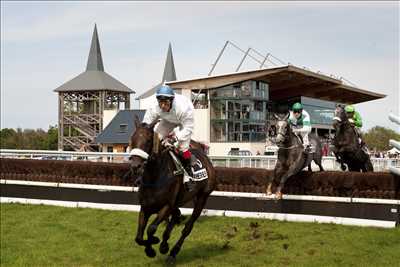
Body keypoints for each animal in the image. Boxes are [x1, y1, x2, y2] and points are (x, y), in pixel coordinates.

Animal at [126, 117, 217, 266]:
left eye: (148, 140)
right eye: (132, 139)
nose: (135, 166)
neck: (155, 176)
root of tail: (204, 155)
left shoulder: (166, 206)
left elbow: (151, 229)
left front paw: (153, 245)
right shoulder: (145, 207)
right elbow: (139, 237)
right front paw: (152, 248)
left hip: (202, 197)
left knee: (187, 228)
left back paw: (173, 253)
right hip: (179, 201)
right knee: (177, 216)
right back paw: (164, 245)